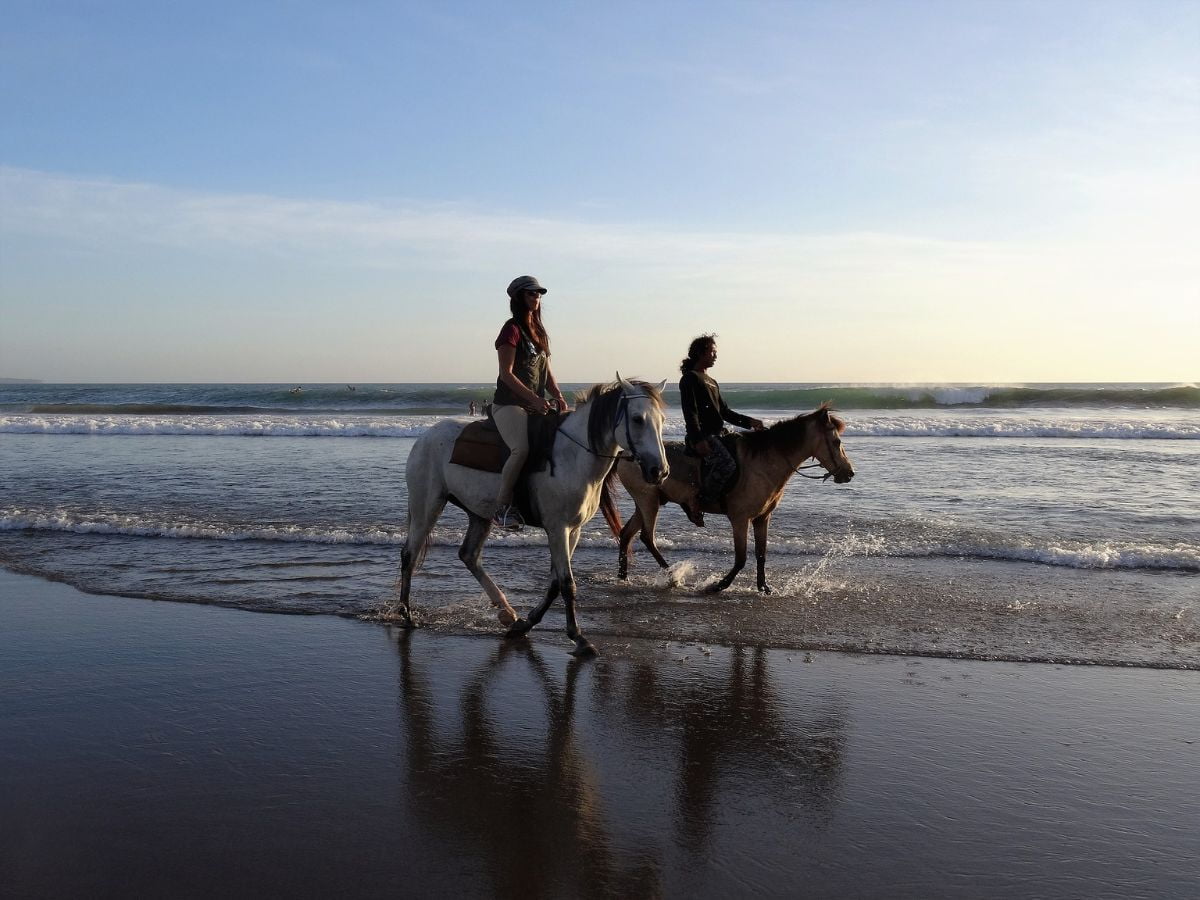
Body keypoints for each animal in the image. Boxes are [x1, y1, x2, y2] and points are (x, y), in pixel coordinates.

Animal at [396, 376, 672, 657]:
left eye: (661, 420)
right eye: (637, 419)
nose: (659, 471)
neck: (573, 456)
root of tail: (425, 437)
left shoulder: (573, 530)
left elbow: (555, 583)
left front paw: (526, 623)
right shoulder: (558, 528)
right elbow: (566, 583)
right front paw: (578, 637)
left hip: (479, 514)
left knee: (469, 555)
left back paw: (507, 612)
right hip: (427, 505)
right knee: (410, 554)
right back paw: (406, 614)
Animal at [609, 405, 854, 595]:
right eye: (836, 441)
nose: (849, 473)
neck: (764, 464)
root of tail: (624, 454)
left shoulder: (762, 518)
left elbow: (761, 554)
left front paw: (764, 587)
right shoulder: (739, 518)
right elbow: (741, 558)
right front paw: (719, 585)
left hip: (647, 502)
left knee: (627, 534)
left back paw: (623, 577)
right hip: (648, 500)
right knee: (647, 537)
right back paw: (672, 576)